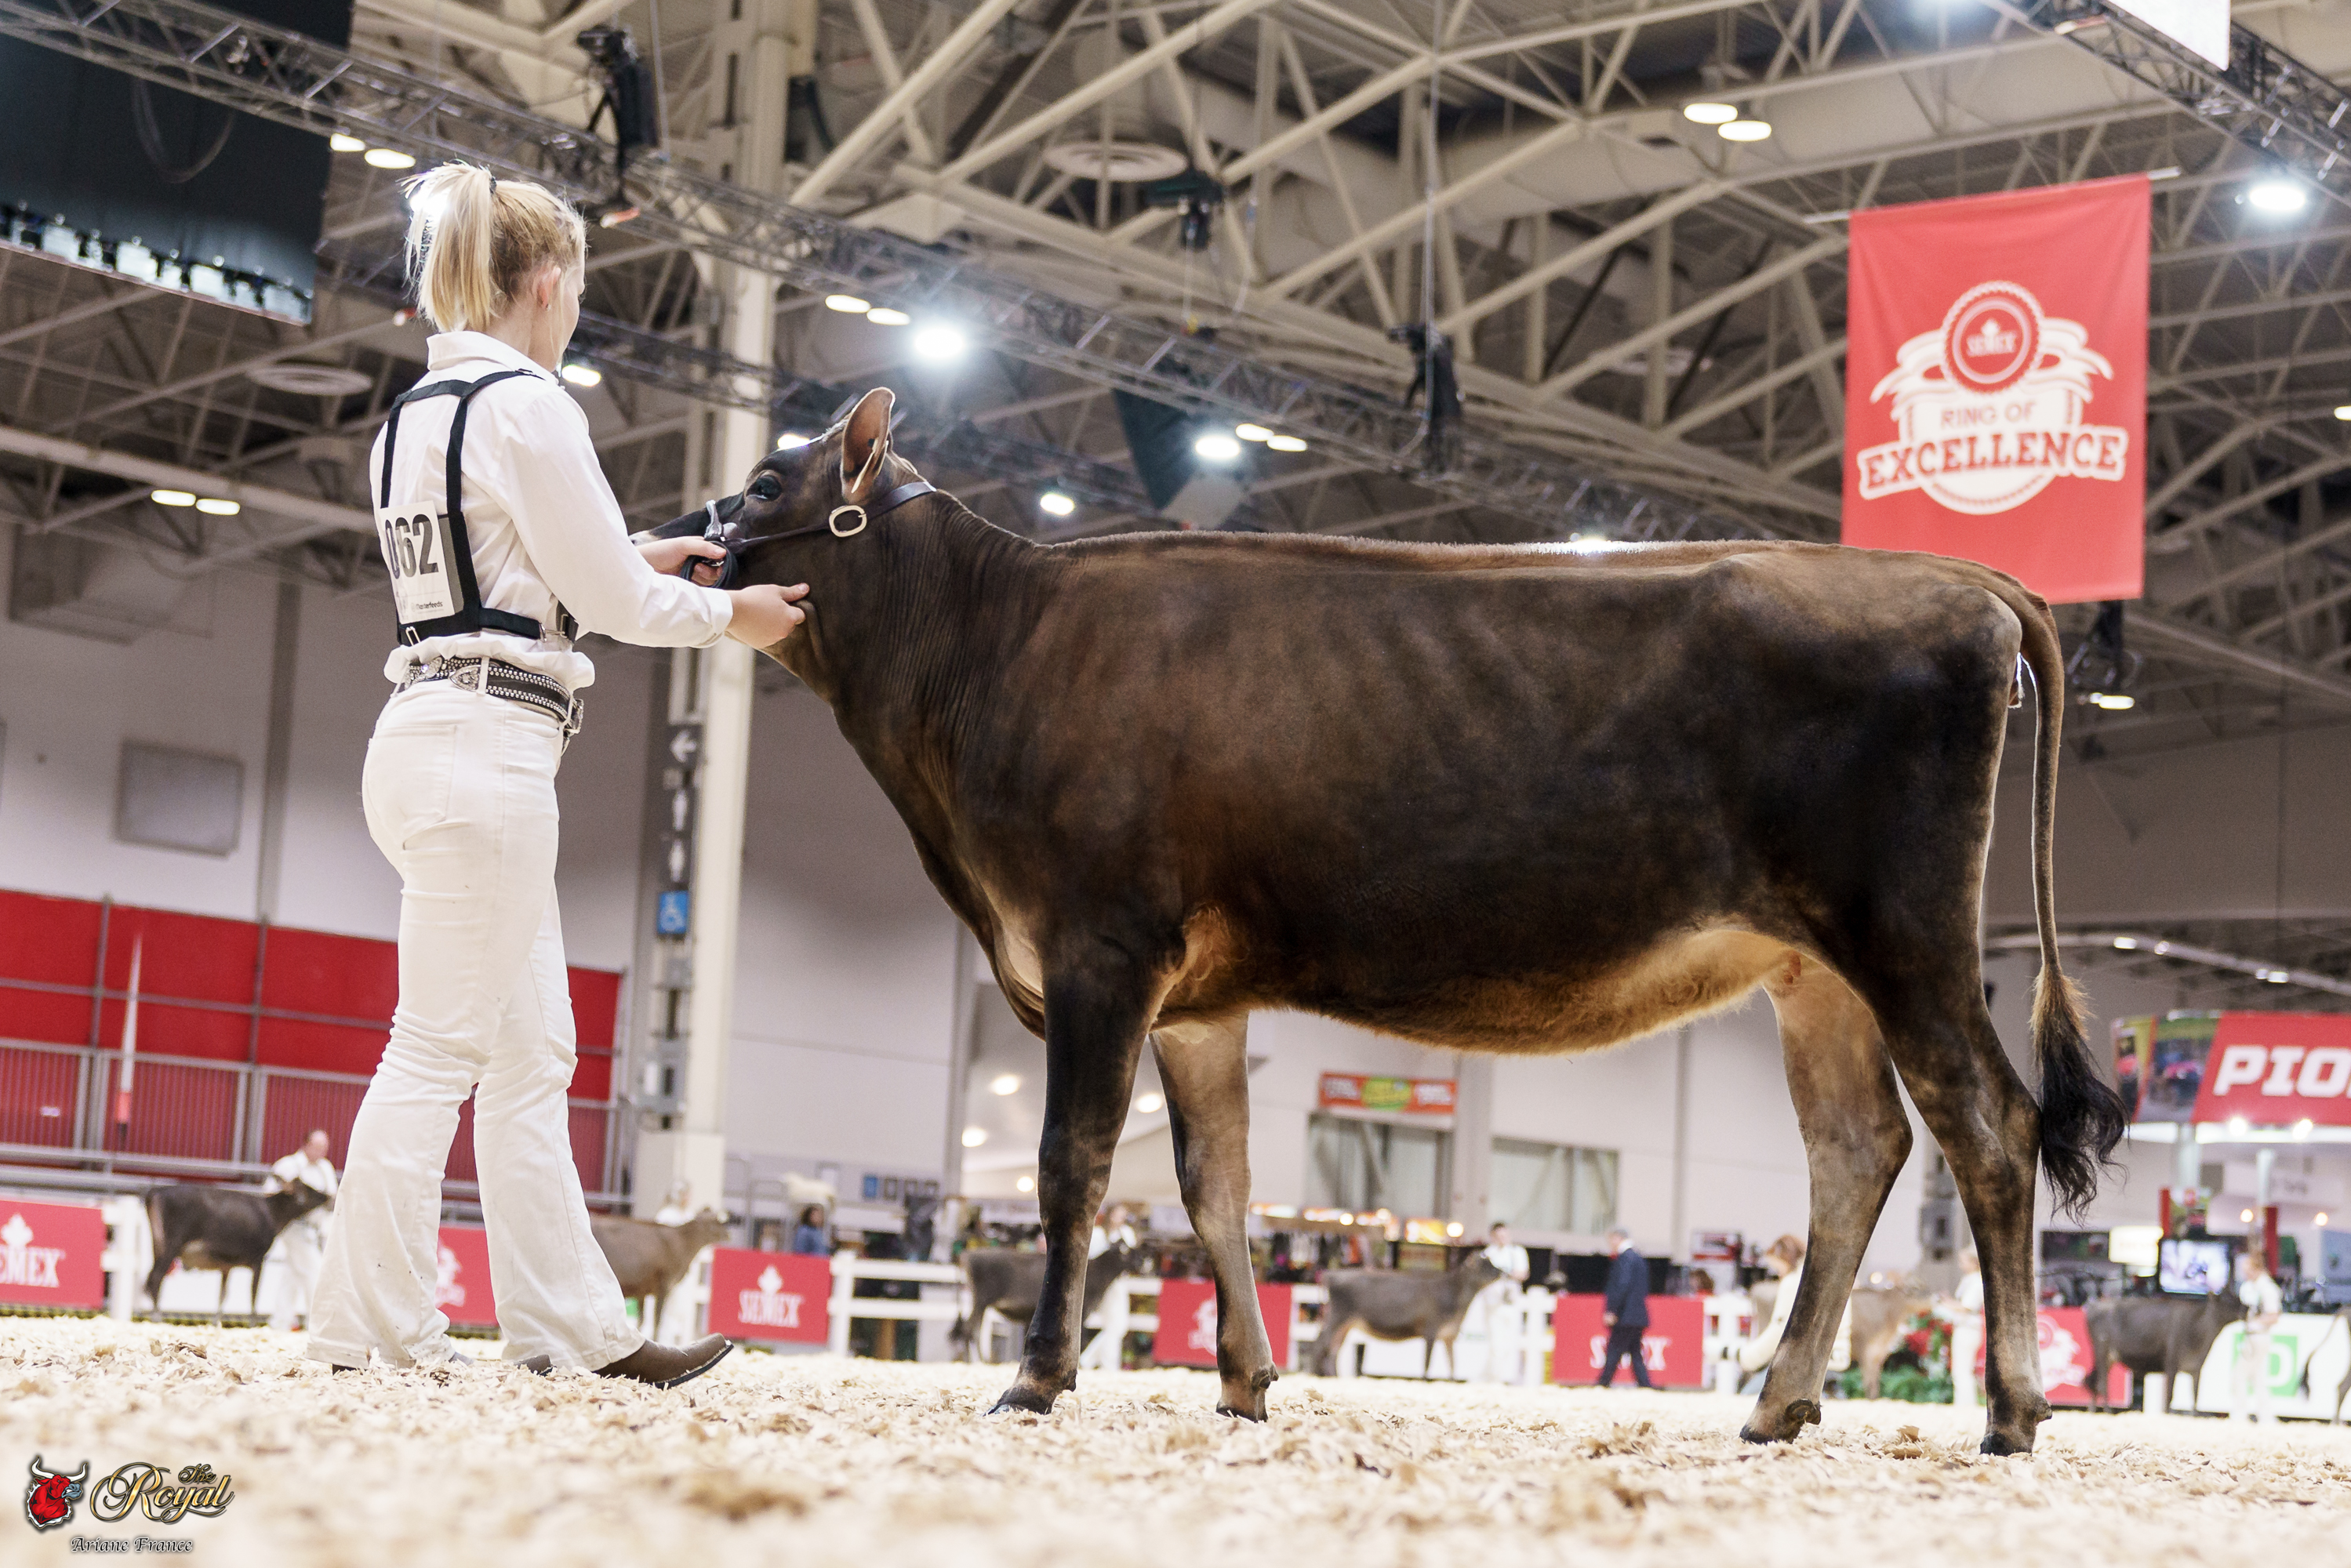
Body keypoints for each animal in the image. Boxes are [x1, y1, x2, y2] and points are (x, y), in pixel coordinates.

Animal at [143, 1179, 331, 1322]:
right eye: (308, 1188)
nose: (327, 1195)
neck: (273, 1216)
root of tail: (156, 1191)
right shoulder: (258, 1258)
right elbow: (253, 1295)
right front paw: (253, 1323)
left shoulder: (226, 1264)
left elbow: (223, 1294)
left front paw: (216, 1321)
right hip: (172, 1243)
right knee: (155, 1278)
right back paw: (157, 1316)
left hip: (157, 1244)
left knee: (150, 1279)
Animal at [589, 1208, 732, 1333]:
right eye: (716, 1221)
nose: (727, 1234)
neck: (683, 1244)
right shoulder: (664, 1285)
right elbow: (657, 1322)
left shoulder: (642, 1289)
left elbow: (642, 1320)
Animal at [951, 1241, 1135, 1361]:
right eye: (1126, 1253)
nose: (1141, 1263)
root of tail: (966, 1254)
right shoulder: (1082, 1312)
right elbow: (1080, 1340)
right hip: (981, 1299)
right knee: (969, 1330)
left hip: (980, 1303)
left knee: (974, 1330)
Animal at [1312, 1254, 1503, 1378]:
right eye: (1485, 1265)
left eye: (1491, 1262)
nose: (1502, 1271)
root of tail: (1331, 1273)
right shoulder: (1431, 1330)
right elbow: (1427, 1361)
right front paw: (1425, 1380)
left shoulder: (1449, 1335)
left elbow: (1452, 1363)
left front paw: (1452, 1381)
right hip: (1338, 1316)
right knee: (1321, 1342)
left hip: (1347, 1323)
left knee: (1334, 1349)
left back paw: (1336, 1376)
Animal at [2082, 1293, 2244, 1413]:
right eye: (2228, 1300)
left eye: (2238, 1297)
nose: (2246, 1308)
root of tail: (2094, 1305)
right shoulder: (2171, 1363)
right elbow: (2169, 1394)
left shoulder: (2197, 1368)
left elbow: (2195, 1394)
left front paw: (2194, 1415)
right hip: (2102, 1350)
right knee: (2102, 1383)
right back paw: (2107, 1411)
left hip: (2109, 1357)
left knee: (2093, 1380)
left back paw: (2092, 1411)